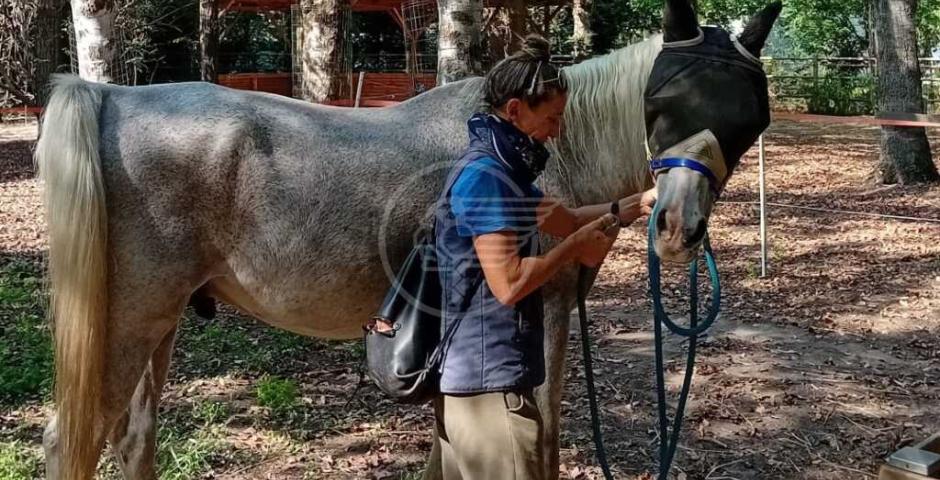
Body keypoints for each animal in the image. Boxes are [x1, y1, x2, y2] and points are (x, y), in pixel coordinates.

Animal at [34, 1, 781, 478]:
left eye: (748, 118)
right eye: (662, 103)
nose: (677, 226)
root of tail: (113, 99)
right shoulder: (543, 314)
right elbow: (540, 438)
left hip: (156, 327)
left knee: (133, 440)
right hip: (129, 324)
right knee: (73, 441)